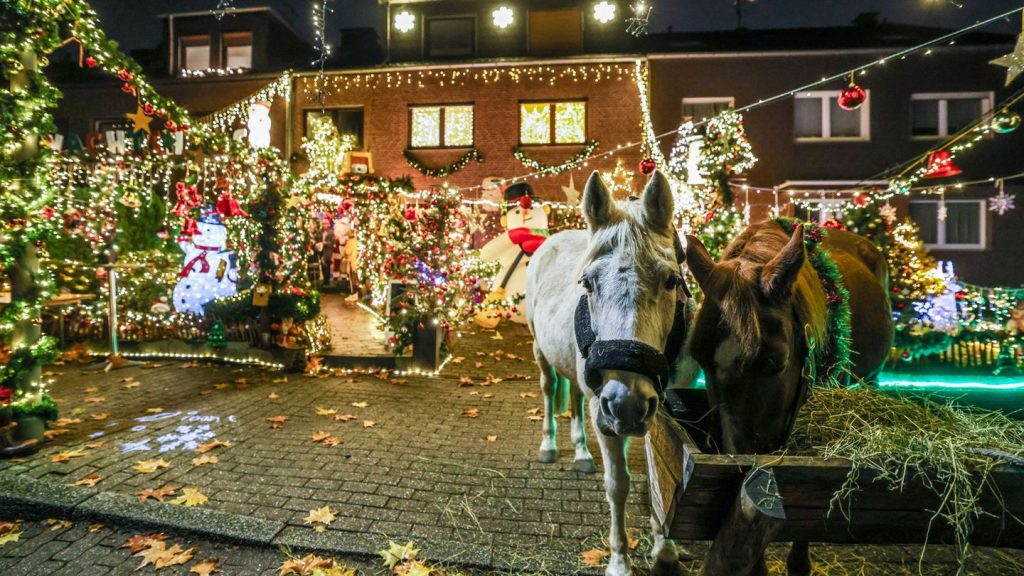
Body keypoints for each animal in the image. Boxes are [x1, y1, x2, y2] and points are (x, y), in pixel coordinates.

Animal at [528, 171, 688, 573]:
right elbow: (618, 485)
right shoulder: (605, 414)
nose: (625, 403)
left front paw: (665, 546)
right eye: (588, 283)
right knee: (550, 390)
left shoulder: (653, 409)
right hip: (541, 353)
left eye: (671, 280)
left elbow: (657, 479)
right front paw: (619, 560)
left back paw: (582, 453)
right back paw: (549, 446)